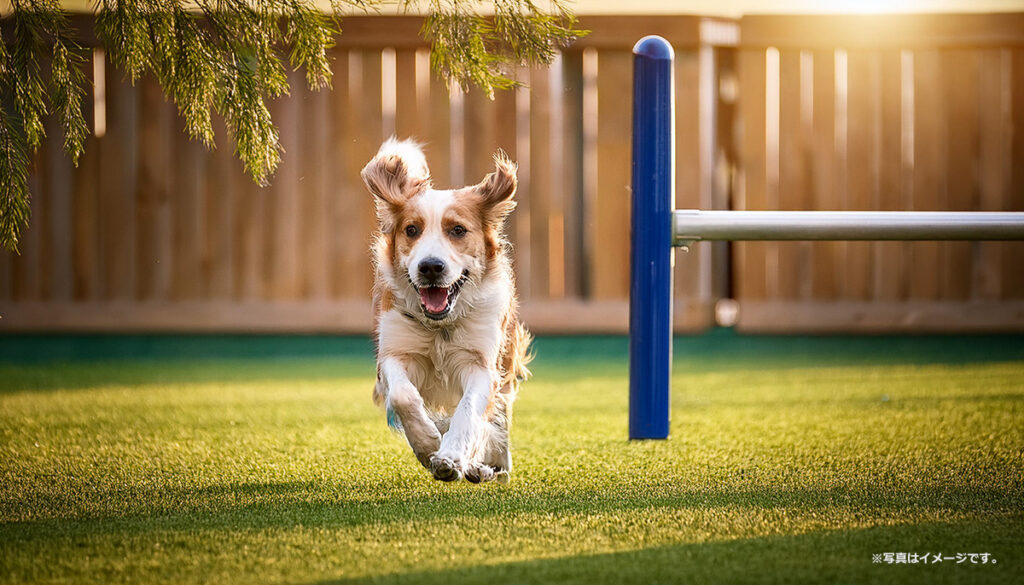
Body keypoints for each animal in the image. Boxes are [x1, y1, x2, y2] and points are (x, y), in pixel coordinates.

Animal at [360, 138, 532, 485]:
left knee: (498, 415)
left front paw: (451, 455)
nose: (430, 267)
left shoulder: (481, 363)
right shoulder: (395, 353)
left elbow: (469, 410)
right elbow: (403, 397)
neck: (440, 326)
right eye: (412, 230)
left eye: (458, 230)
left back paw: (492, 467)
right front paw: (429, 445)